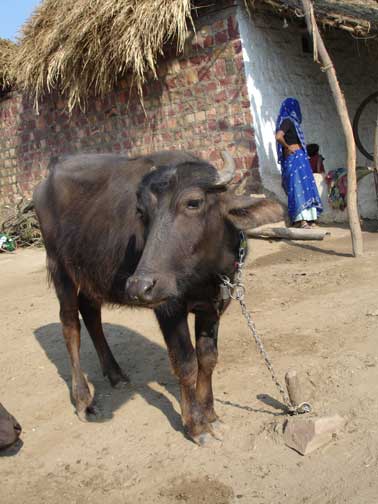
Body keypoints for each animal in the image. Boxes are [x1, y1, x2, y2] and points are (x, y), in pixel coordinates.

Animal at [34, 151, 284, 444]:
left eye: (193, 202)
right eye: (142, 213)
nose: (139, 286)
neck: (205, 273)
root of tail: (46, 182)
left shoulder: (214, 305)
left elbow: (207, 359)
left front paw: (211, 415)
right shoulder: (169, 308)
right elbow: (186, 363)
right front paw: (197, 426)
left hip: (92, 274)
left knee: (91, 313)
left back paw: (116, 374)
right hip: (59, 268)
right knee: (70, 325)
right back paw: (84, 401)